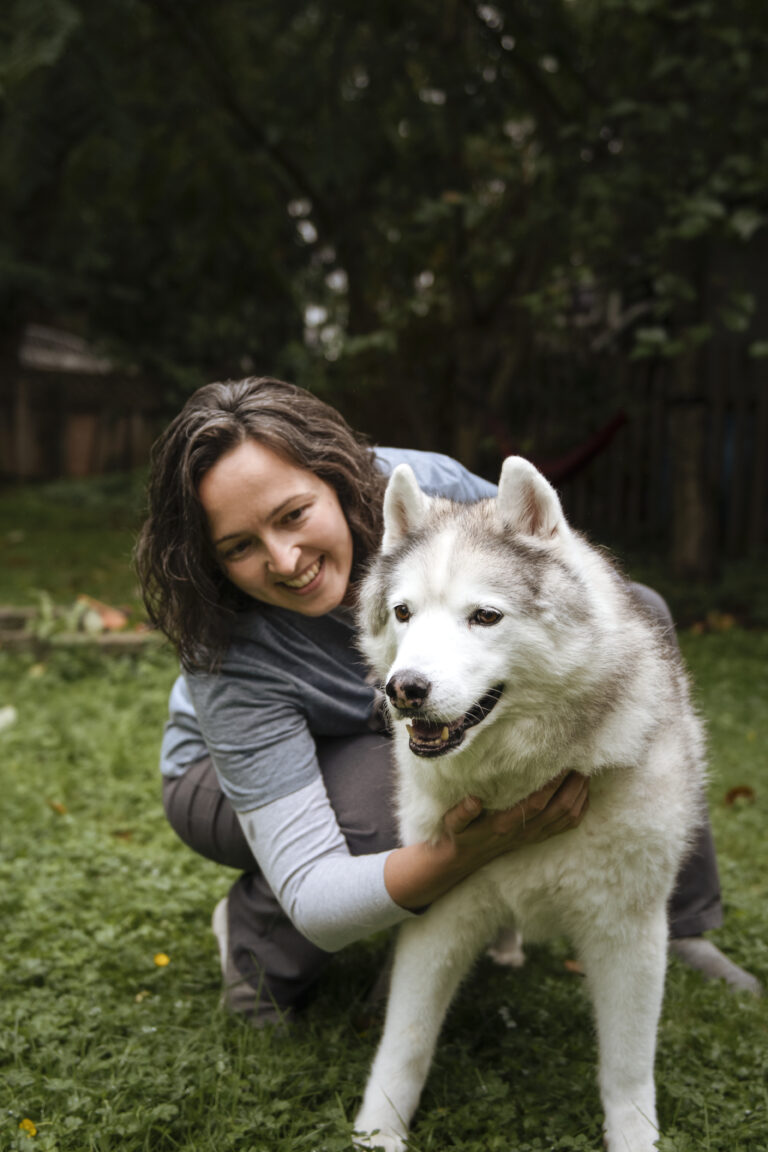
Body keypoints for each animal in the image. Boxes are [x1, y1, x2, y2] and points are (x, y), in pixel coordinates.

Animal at [354, 456, 704, 1152]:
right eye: (404, 612)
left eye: (484, 617)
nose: (404, 689)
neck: (519, 781)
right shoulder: (438, 914)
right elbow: (405, 1043)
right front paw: (378, 1132)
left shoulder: (629, 932)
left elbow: (627, 1070)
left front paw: (634, 1137)